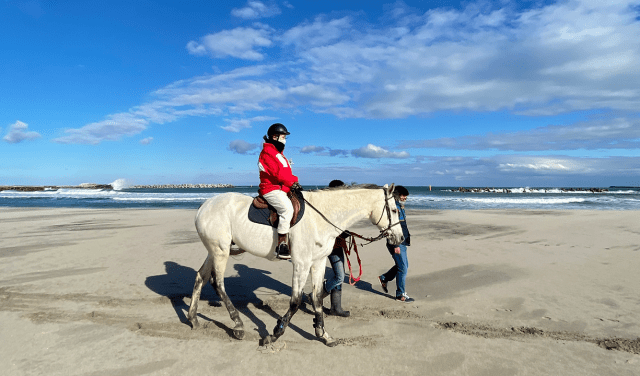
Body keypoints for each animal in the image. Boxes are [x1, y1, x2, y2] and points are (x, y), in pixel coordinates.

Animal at [188, 184, 402, 346]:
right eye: (394, 210)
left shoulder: (318, 262)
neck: (321, 218)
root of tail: (204, 206)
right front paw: (275, 333)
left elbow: (317, 298)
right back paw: (238, 325)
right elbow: (296, 301)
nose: (400, 238)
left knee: (201, 277)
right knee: (218, 284)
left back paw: (193, 318)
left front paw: (323, 334)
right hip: (220, 251)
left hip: (214, 251)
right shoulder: (302, 263)